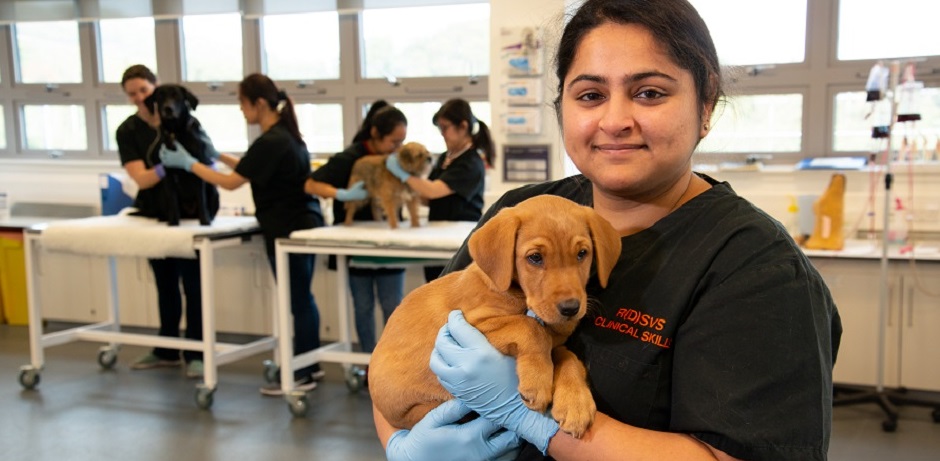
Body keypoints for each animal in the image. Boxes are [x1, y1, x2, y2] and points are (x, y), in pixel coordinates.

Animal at [142, 84, 219, 226]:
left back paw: (209, 217)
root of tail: (189, 214)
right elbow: (173, 202)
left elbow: (201, 199)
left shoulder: (198, 171)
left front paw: (205, 221)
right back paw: (164, 219)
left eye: (177, 95)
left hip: (213, 190)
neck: (176, 132)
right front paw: (173, 223)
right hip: (162, 194)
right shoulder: (168, 175)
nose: (168, 108)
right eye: (160, 96)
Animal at [370, 194, 624, 438]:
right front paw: (538, 383)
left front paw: (575, 402)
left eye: (582, 253)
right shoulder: (469, 326)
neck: (519, 295)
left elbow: (568, 356)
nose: (570, 309)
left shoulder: (555, 343)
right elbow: (531, 328)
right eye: (535, 258)